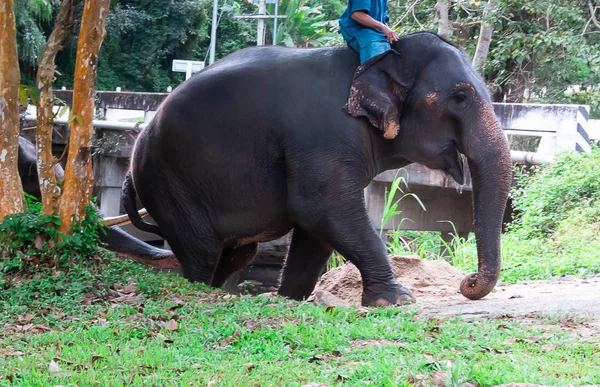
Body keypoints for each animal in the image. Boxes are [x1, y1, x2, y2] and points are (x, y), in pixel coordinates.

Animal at [122, 31, 510, 308]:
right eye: (460, 98)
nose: (467, 282)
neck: (374, 60)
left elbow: (317, 228)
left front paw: (290, 298)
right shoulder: (323, 137)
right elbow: (323, 209)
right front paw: (398, 300)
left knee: (235, 254)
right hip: (168, 183)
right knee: (202, 254)